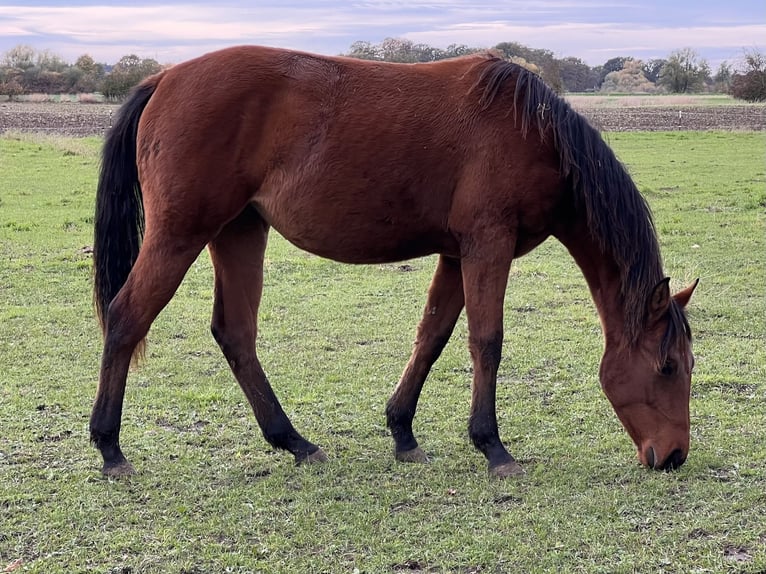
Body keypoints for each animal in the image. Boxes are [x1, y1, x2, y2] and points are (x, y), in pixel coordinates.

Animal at [91, 45, 697, 478]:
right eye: (668, 366)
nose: (673, 456)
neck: (535, 135)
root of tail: (164, 79)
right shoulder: (488, 244)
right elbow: (486, 341)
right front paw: (493, 447)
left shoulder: (456, 253)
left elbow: (432, 337)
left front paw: (403, 433)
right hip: (180, 235)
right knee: (127, 317)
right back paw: (110, 447)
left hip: (239, 231)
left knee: (235, 333)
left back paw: (294, 442)